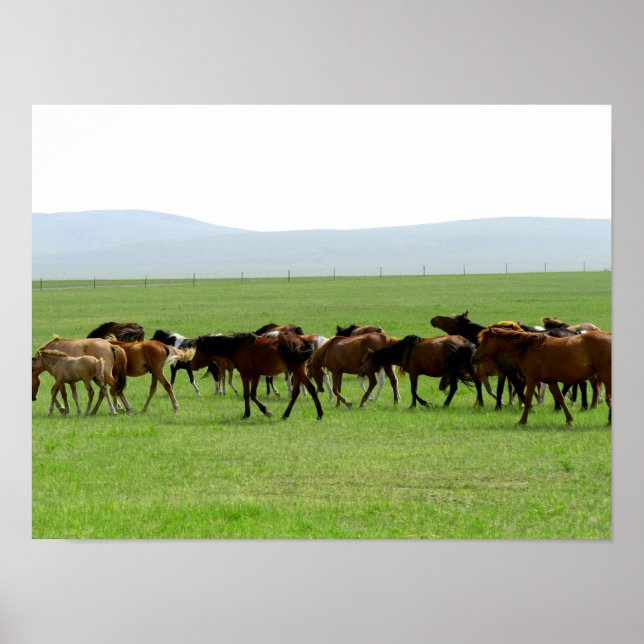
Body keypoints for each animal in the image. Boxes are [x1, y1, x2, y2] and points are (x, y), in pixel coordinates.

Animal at [189, 332, 323, 419]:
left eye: (198, 350)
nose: (191, 364)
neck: (238, 347)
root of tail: (303, 341)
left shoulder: (247, 374)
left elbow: (249, 394)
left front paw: (256, 412)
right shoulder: (254, 376)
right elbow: (251, 395)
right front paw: (257, 412)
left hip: (298, 370)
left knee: (310, 388)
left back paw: (320, 414)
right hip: (297, 372)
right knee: (296, 393)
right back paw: (286, 414)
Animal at [472, 327, 612, 426]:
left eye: (484, 342)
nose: (473, 357)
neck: (527, 347)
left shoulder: (531, 379)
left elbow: (528, 399)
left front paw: (522, 420)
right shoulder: (551, 381)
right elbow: (560, 397)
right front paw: (569, 419)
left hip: (606, 375)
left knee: (608, 397)